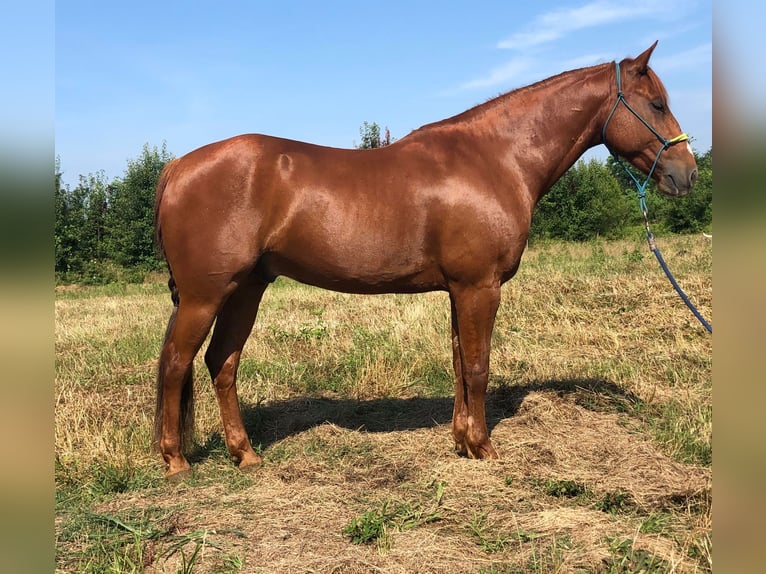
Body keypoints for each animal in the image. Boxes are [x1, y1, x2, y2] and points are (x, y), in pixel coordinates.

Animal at [153, 42, 700, 480]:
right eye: (656, 103)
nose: (687, 174)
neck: (494, 158)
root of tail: (178, 166)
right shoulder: (480, 287)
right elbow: (477, 366)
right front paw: (483, 446)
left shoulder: (461, 289)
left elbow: (460, 362)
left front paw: (462, 441)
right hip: (205, 296)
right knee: (178, 364)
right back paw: (176, 462)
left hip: (246, 289)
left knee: (221, 363)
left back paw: (244, 454)